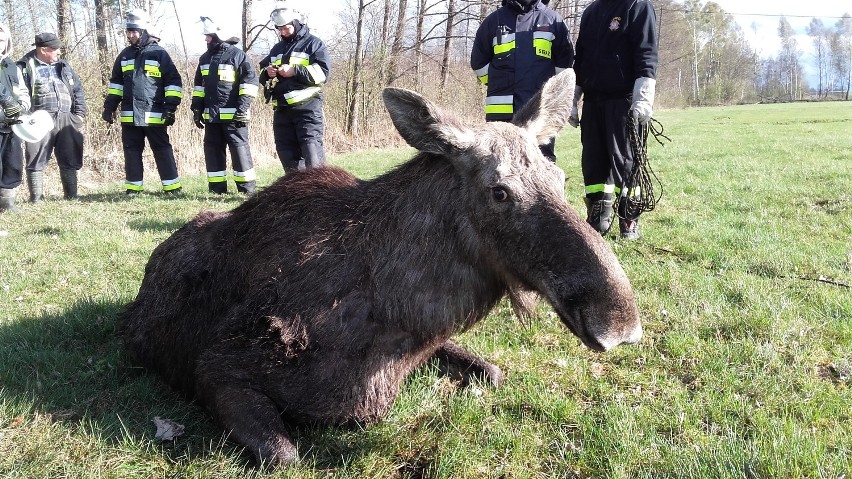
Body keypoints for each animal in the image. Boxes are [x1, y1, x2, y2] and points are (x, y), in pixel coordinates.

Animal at [118, 69, 640, 466]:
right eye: (499, 191)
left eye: (561, 178)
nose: (620, 323)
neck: (395, 325)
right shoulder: (217, 369)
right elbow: (285, 455)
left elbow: (493, 371)